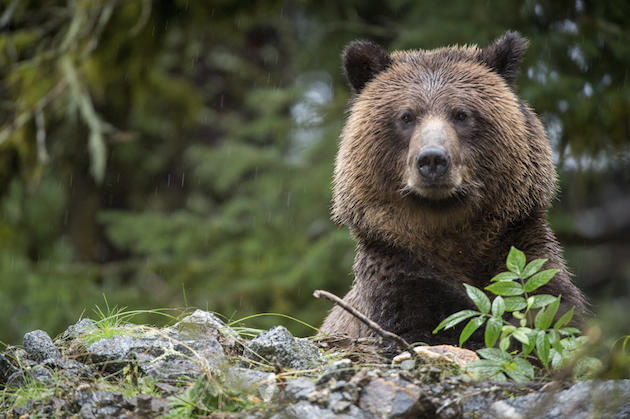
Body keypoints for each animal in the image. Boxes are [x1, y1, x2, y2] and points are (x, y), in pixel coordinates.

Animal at [324, 32, 592, 352]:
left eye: (461, 114)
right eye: (406, 116)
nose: (432, 159)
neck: (451, 234)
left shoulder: (521, 248)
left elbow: (553, 309)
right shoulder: (396, 265)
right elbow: (428, 322)